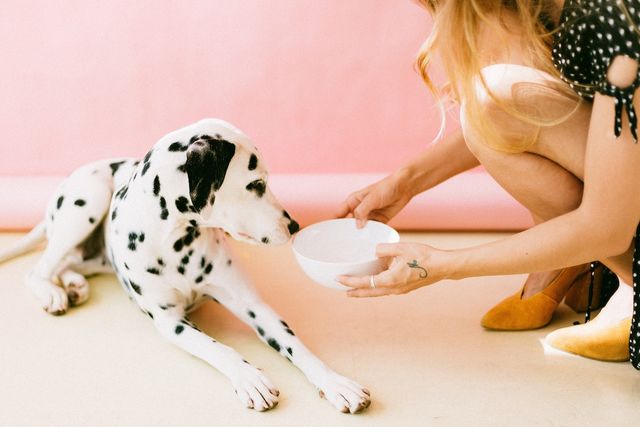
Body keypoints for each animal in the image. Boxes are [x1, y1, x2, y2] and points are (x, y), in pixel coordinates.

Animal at [1, 118, 370, 412]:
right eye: (256, 184)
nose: (294, 225)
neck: (177, 243)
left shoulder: (254, 305)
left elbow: (297, 347)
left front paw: (336, 382)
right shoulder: (171, 322)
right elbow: (219, 349)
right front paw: (249, 377)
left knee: (66, 263)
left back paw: (73, 285)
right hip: (87, 202)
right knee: (38, 269)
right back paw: (53, 293)